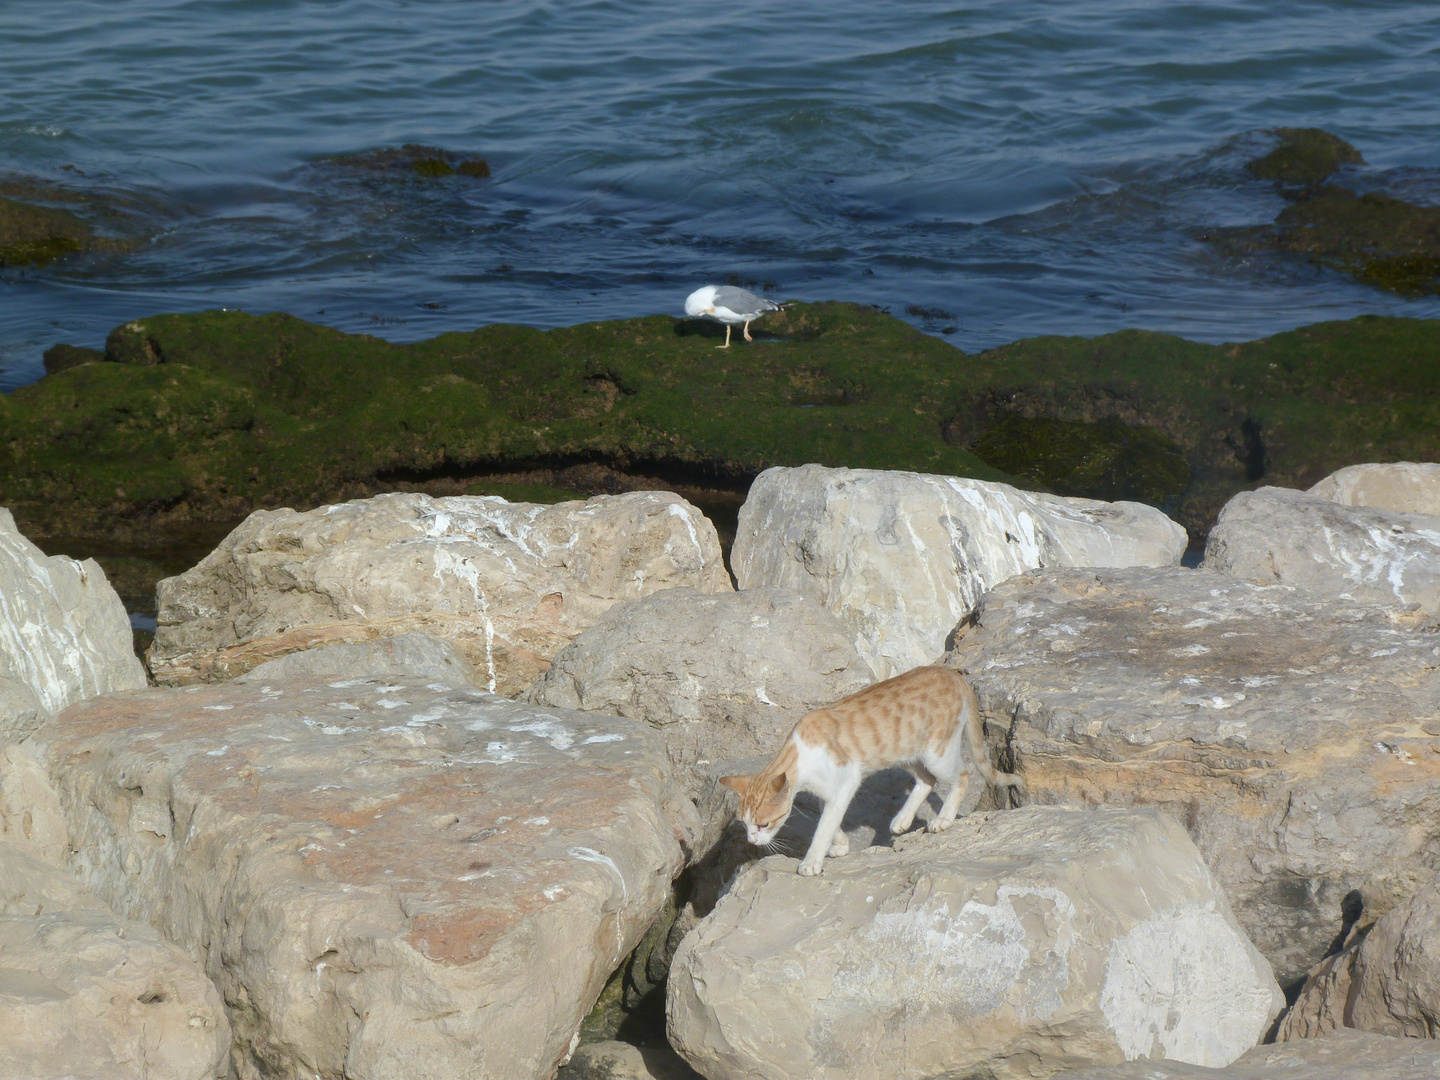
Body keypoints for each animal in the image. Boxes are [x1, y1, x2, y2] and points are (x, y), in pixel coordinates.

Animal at [720, 668, 1025, 881]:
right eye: (744, 824)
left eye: (763, 824)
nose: (751, 840)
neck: (801, 753)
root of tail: (953, 673)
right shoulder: (827, 792)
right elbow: (827, 819)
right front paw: (840, 845)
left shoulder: (846, 783)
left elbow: (823, 827)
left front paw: (812, 861)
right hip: (905, 754)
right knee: (927, 779)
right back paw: (902, 820)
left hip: (936, 753)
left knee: (962, 773)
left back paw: (943, 819)